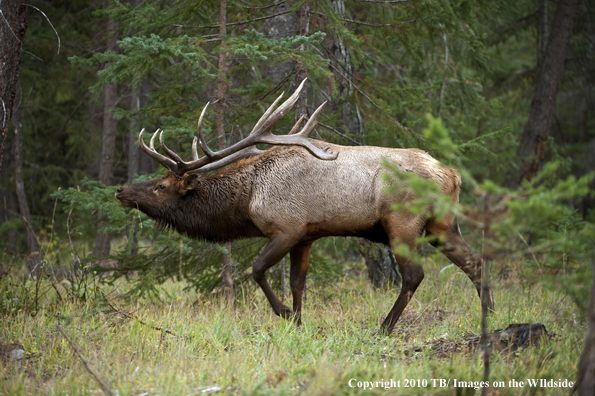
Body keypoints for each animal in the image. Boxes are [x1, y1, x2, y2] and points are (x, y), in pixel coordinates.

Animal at [116, 79, 494, 334]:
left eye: (160, 186)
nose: (121, 190)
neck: (247, 198)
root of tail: (453, 175)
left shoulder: (287, 227)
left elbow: (257, 269)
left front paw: (284, 313)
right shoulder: (307, 236)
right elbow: (298, 282)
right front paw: (298, 323)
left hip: (402, 224)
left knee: (415, 274)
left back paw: (385, 326)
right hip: (442, 225)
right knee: (475, 262)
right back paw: (489, 315)